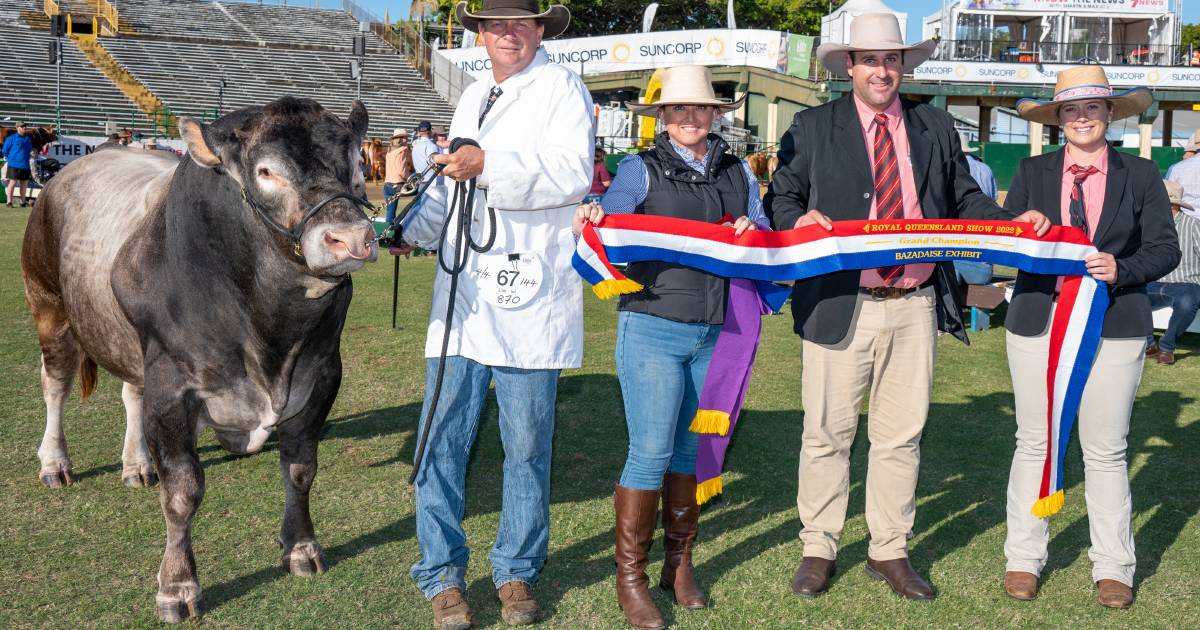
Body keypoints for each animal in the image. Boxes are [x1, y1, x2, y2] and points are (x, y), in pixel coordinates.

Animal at [23, 97, 379, 619]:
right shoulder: (172, 388)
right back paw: (54, 462)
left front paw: (301, 547)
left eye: (356, 164)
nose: (350, 238)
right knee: (56, 384)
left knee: (131, 393)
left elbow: (299, 469)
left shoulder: (322, 376)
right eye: (266, 171)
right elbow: (183, 491)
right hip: (49, 305)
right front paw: (177, 586)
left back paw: (137, 464)